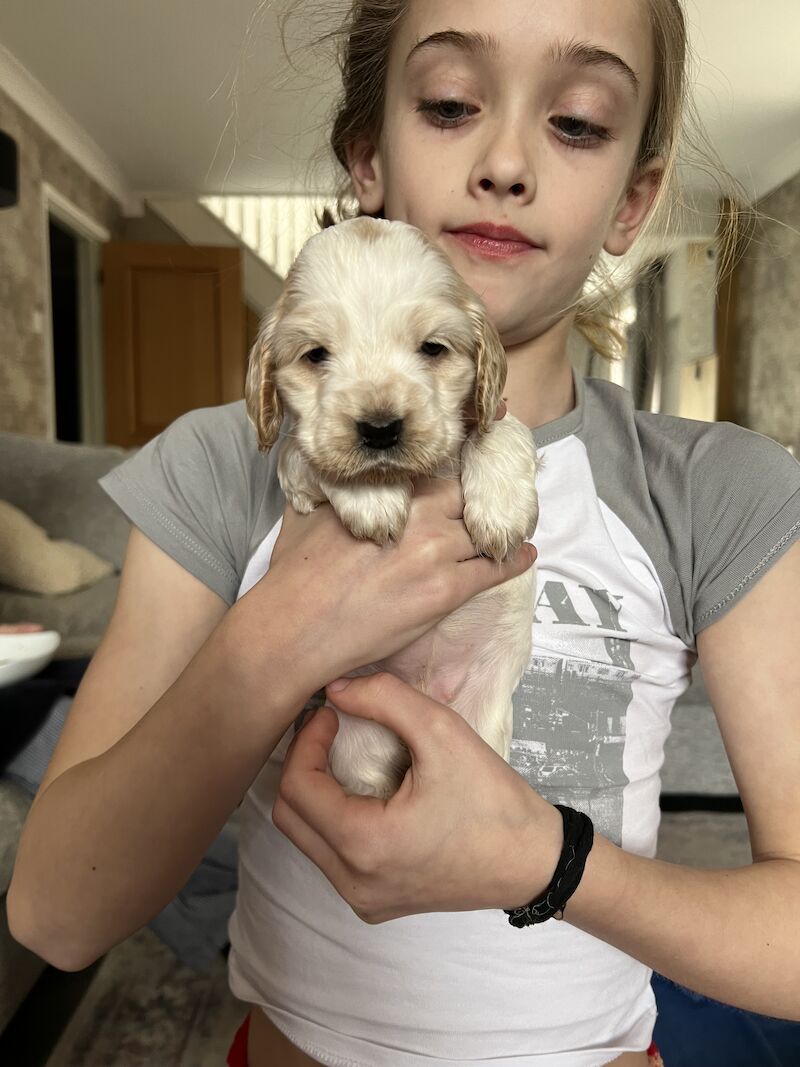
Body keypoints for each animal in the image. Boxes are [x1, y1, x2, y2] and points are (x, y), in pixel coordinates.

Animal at [247, 216, 541, 802]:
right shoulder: (297, 462)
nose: (381, 429)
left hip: (479, 723)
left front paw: (501, 508)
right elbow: (310, 459)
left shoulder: (490, 413)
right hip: (358, 744)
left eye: (433, 348)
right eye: (316, 355)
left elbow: (499, 427)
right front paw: (375, 499)